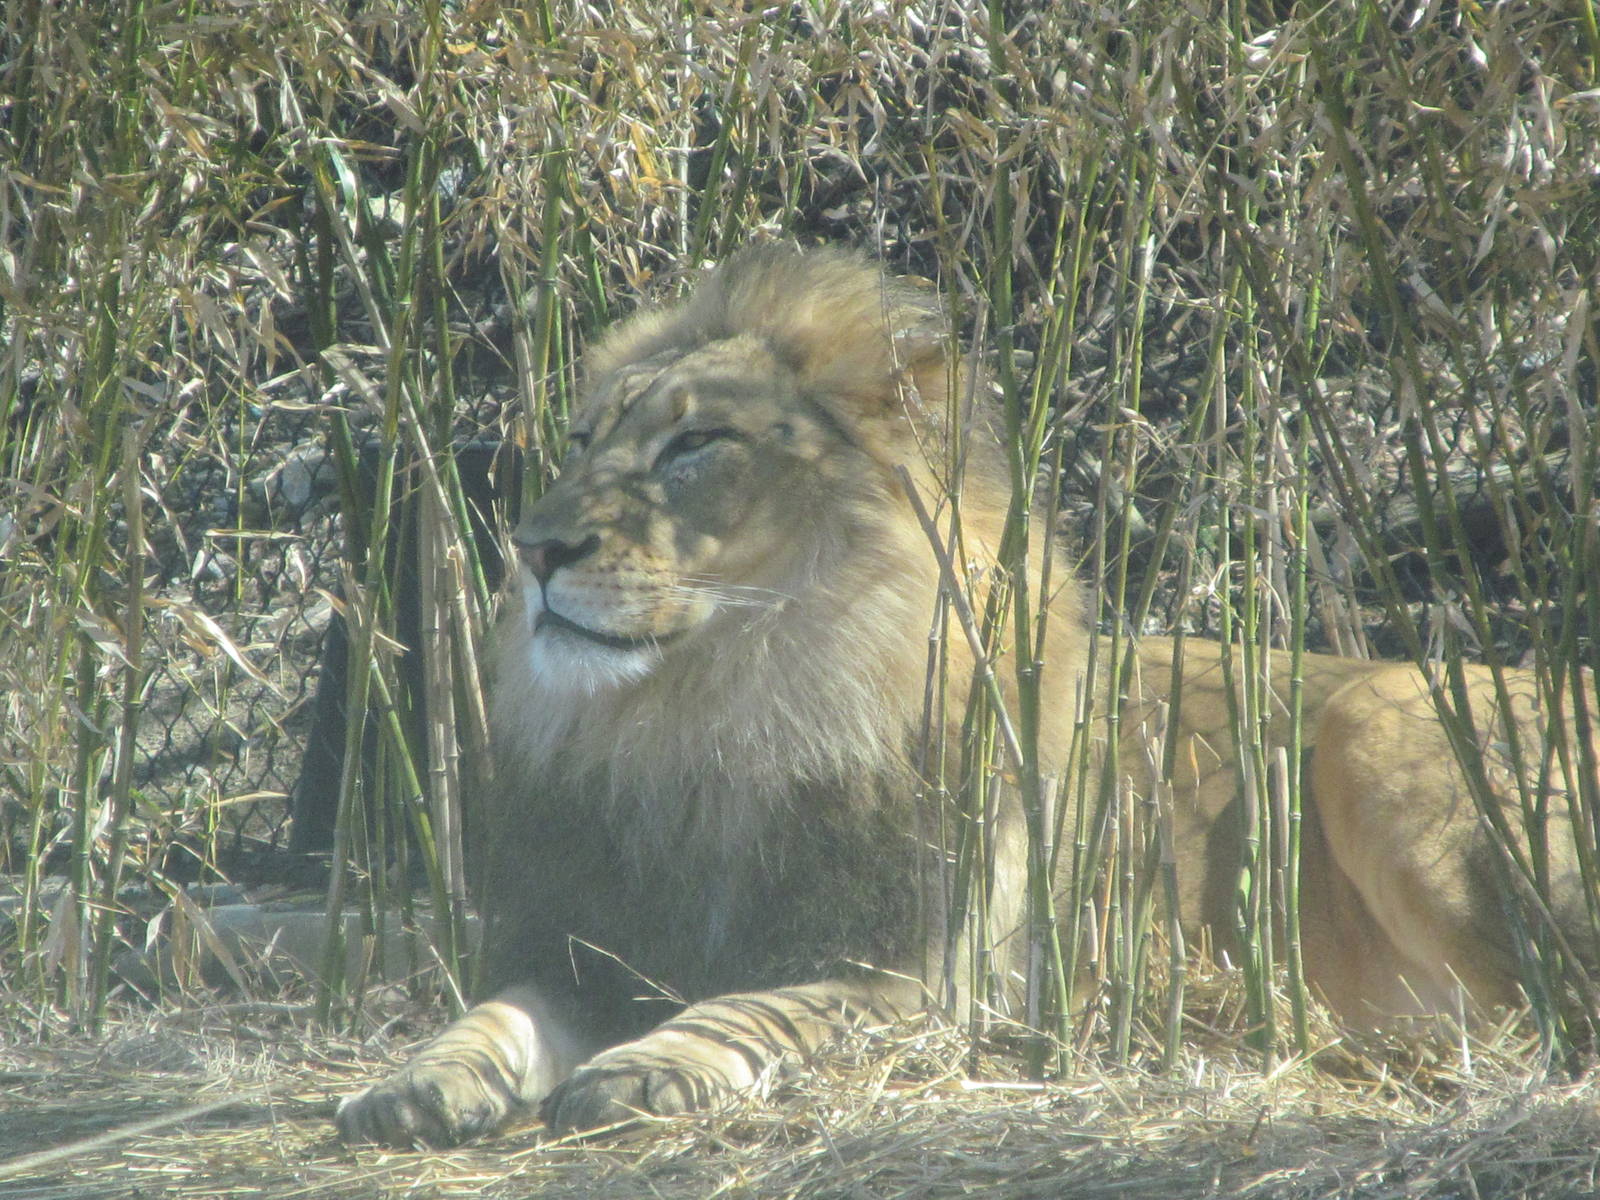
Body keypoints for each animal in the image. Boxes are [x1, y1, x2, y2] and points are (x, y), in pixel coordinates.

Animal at [335, 245, 1597, 1147]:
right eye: (586, 439)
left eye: (695, 445)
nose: (535, 548)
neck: (715, 719)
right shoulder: (592, 941)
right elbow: (494, 1011)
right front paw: (414, 1083)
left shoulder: (931, 981)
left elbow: (762, 1006)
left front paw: (647, 1067)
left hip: (1381, 721)